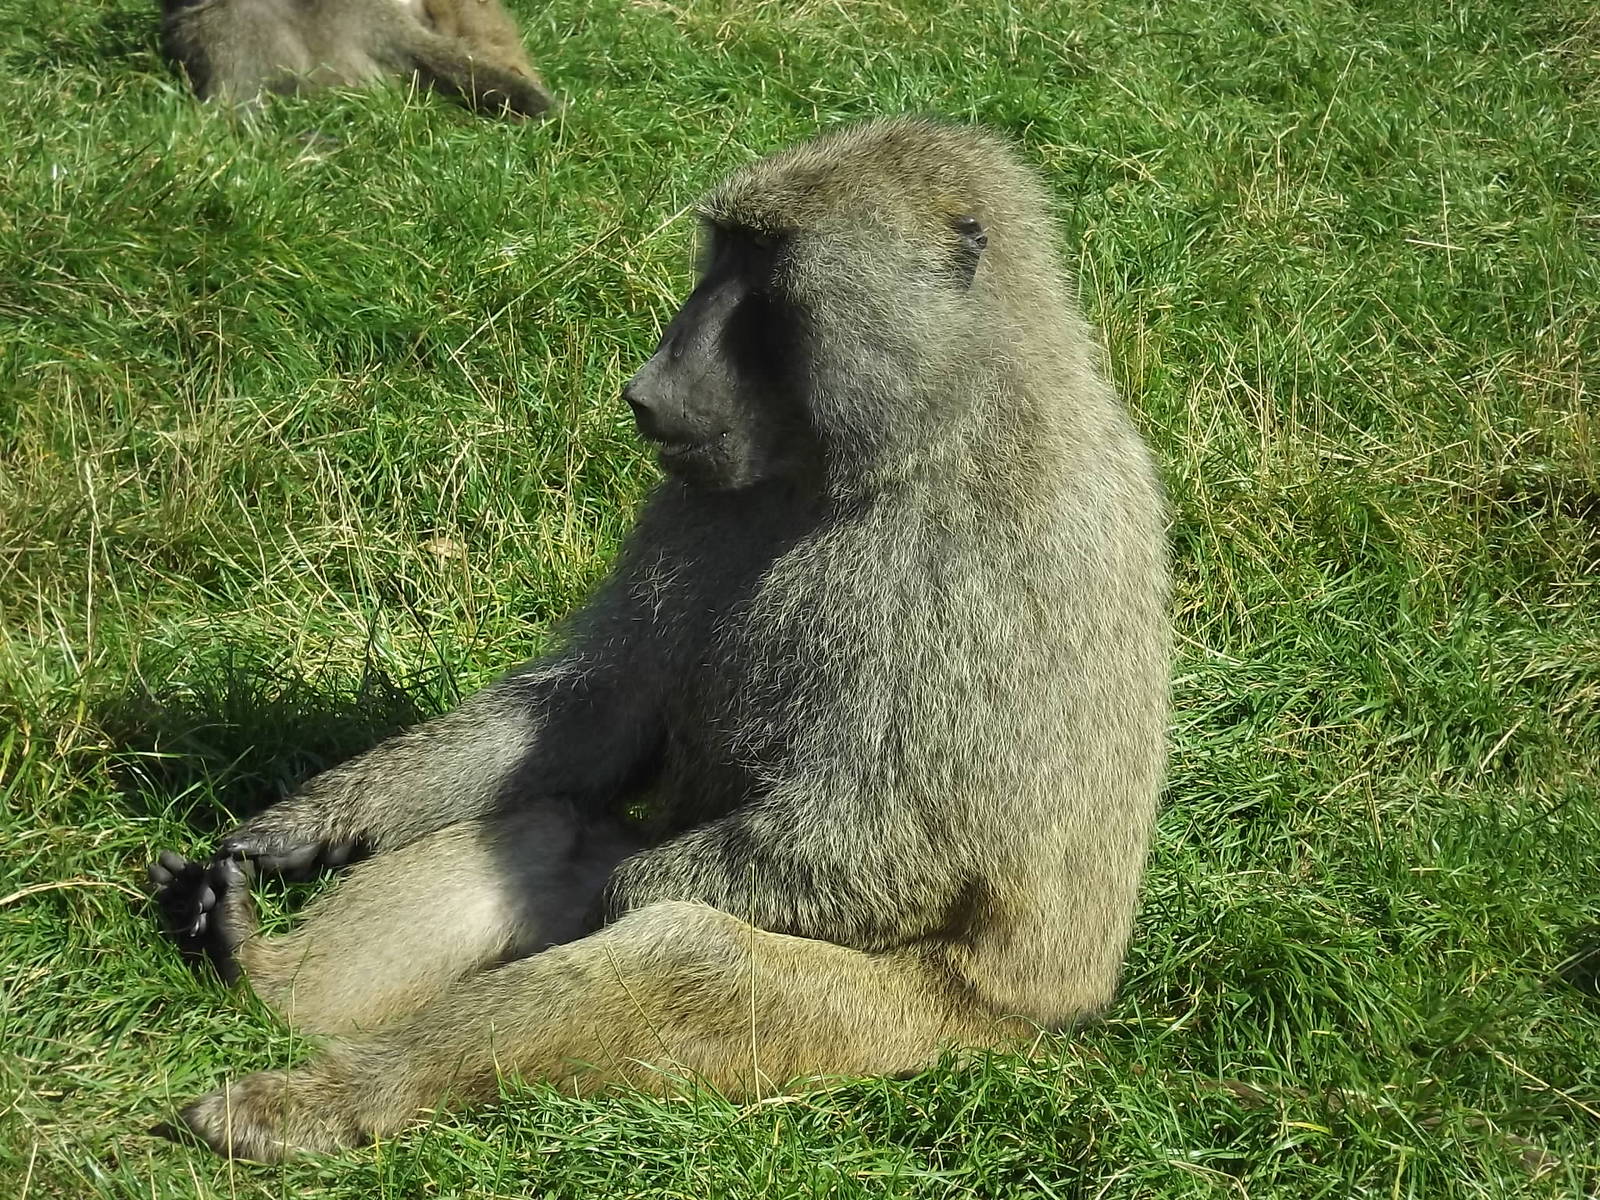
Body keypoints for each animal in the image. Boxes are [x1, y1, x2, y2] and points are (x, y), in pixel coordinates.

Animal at [146, 115, 1171, 1162]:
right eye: (724, 251)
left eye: (764, 265)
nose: (648, 387)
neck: (927, 431)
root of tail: (1041, 1026)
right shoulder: (697, 505)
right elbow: (605, 710)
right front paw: (304, 828)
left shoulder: (981, 558)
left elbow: (894, 838)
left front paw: (619, 897)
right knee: (543, 827)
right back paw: (259, 969)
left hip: (908, 1020)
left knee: (682, 953)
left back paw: (323, 1095)